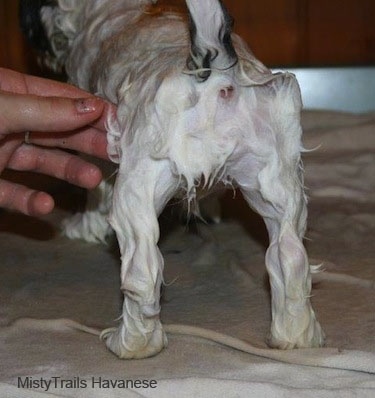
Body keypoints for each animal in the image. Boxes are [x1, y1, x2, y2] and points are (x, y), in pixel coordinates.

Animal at [20, 0, 326, 360]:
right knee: (290, 258)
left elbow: (94, 188)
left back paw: (133, 344)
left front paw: (84, 226)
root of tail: (216, 73)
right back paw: (296, 337)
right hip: (279, 180)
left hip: (139, 185)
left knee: (142, 270)